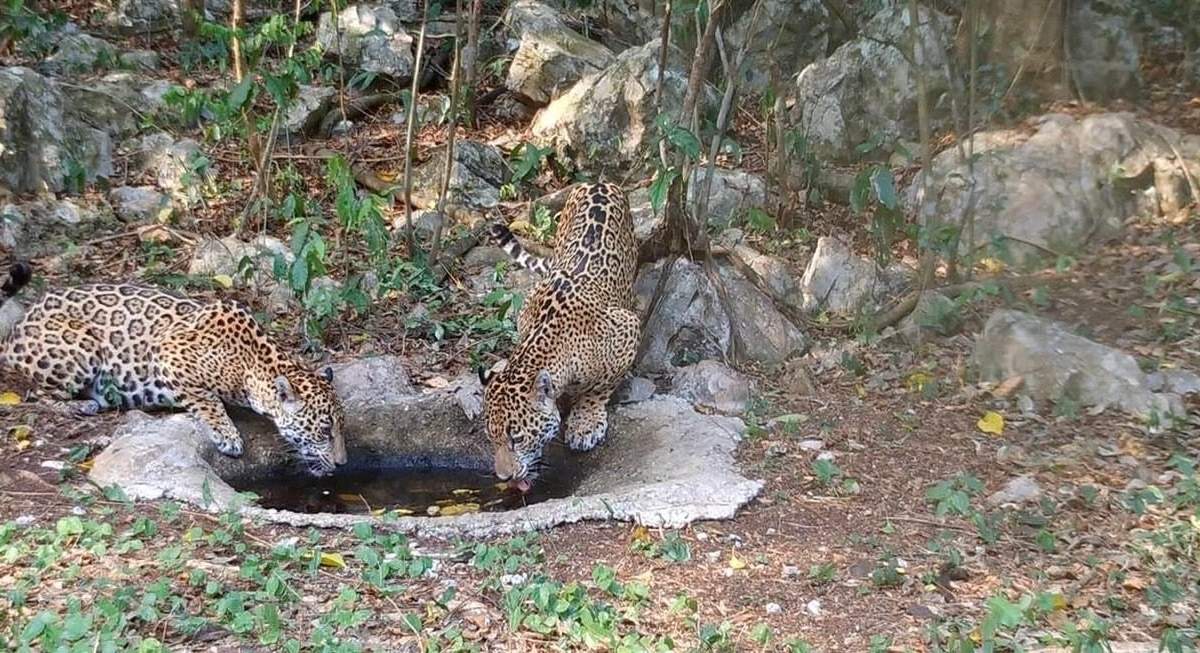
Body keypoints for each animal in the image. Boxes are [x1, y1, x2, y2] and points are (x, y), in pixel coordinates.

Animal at [0, 262, 347, 476]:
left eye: (342, 428)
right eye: (324, 431)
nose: (343, 464)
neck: (251, 363)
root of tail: (17, 328)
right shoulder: (167, 353)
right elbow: (208, 400)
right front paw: (228, 436)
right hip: (82, 347)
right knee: (35, 394)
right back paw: (81, 405)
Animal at [479, 182, 640, 492]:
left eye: (517, 438)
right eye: (491, 438)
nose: (504, 477)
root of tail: (598, 182)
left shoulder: (627, 328)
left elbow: (600, 387)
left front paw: (585, 423)